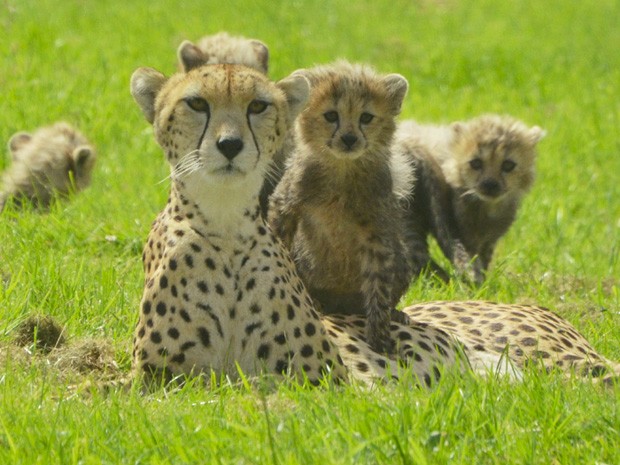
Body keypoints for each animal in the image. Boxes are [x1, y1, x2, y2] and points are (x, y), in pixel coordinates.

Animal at [130, 62, 460, 388]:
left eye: (258, 106)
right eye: (197, 103)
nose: (230, 145)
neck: (225, 217)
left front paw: (380, 333)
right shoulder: (156, 378)